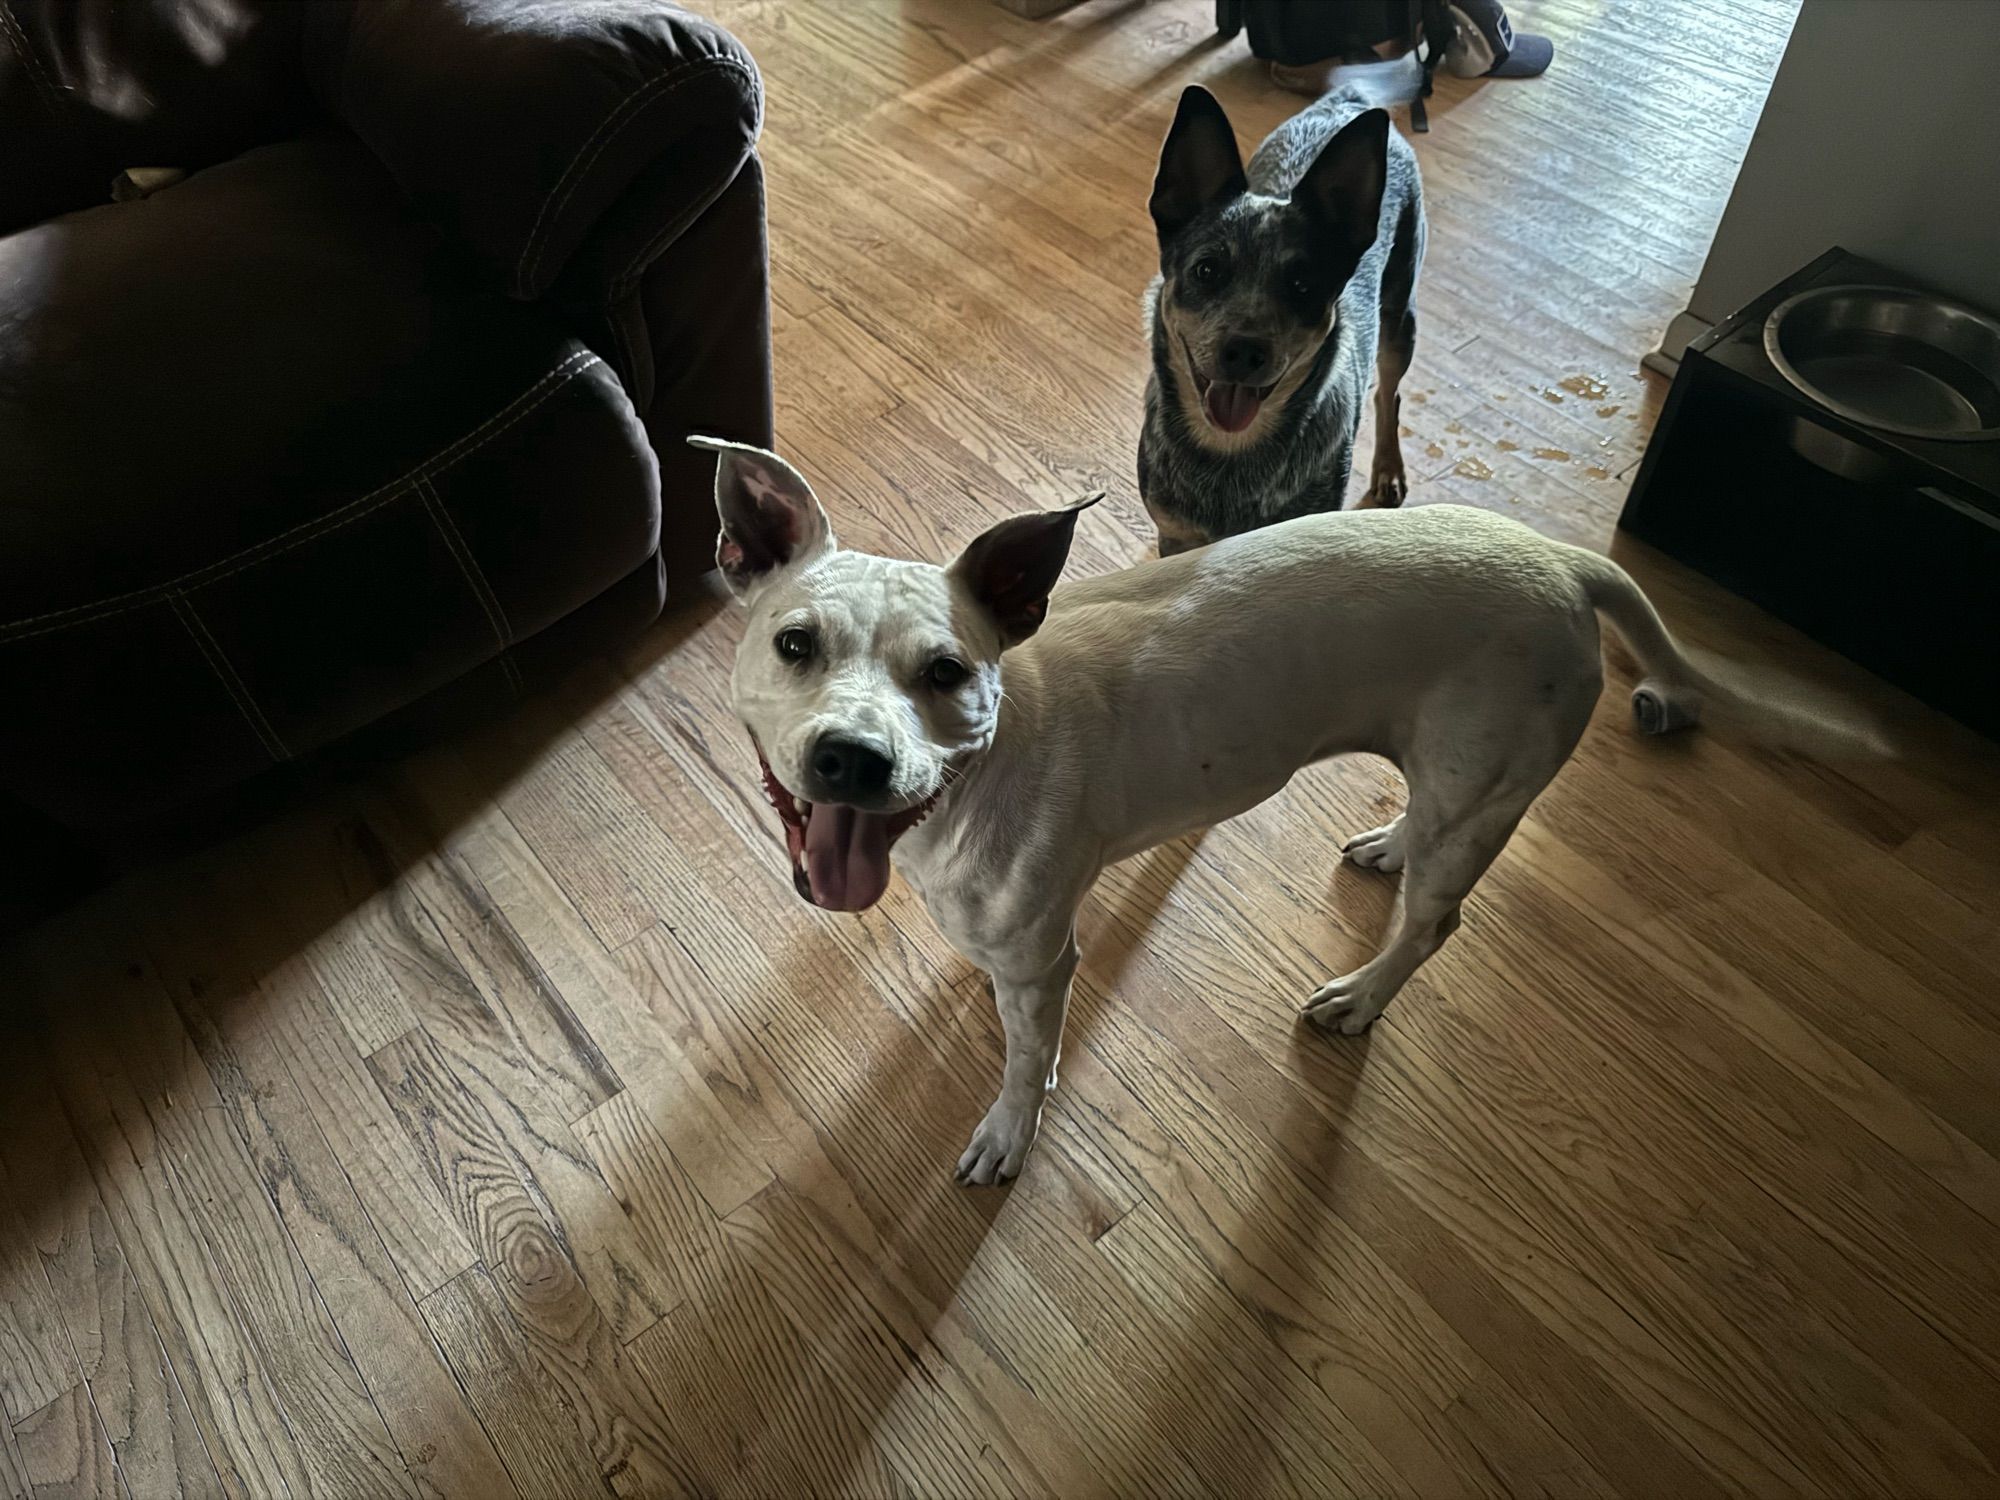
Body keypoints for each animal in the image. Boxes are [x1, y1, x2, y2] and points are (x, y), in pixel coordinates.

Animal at [700, 440, 1872, 1192]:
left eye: (944, 671)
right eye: (795, 644)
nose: (851, 758)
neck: (980, 767)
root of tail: (1565, 563)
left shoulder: (1039, 958)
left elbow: (1026, 1061)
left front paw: (1007, 1130)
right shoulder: (1016, 944)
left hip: (1481, 790)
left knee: (1433, 923)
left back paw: (1359, 998)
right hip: (1449, 783)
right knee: (1418, 836)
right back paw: (1387, 845)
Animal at [1144, 82, 1424, 556]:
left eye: (1302, 286)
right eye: (1206, 269)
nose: (1244, 351)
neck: (1229, 459)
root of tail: (1347, 99)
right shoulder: (1175, 536)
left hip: (1400, 313)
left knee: (1389, 393)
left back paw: (1388, 469)